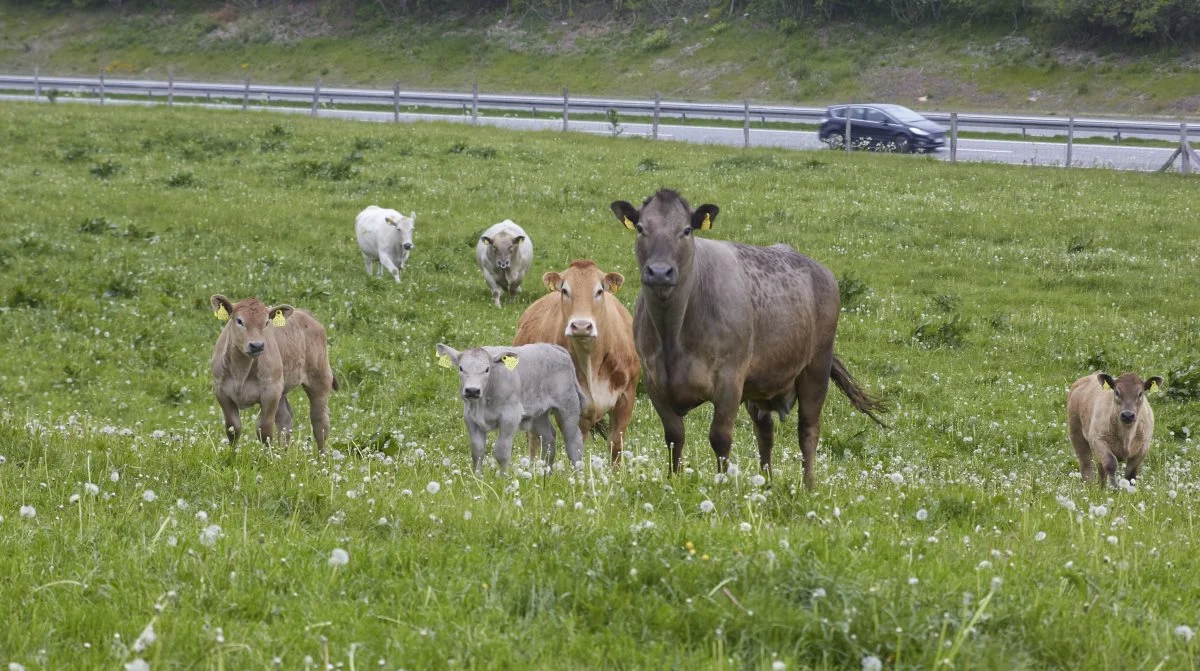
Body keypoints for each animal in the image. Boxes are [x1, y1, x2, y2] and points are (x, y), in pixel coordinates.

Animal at [210, 296, 338, 453]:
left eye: (266, 323)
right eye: (239, 321)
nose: (257, 345)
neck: (241, 372)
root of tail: (307, 315)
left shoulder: (270, 392)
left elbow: (264, 430)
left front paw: (267, 457)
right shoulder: (221, 391)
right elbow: (233, 429)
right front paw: (231, 455)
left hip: (319, 379)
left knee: (319, 422)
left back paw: (321, 457)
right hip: (282, 389)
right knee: (285, 420)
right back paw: (283, 454)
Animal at [436, 343, 585, 475]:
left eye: (487, 369)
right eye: (461, 368)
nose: (472, 390)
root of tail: (554, 347)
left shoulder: (510, 416)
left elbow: (501, 450)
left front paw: (503, 479)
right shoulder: (470, 418)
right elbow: (477, 450)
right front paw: (478, 479)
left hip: (568, 405)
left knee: (573, 440)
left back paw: (579, 478)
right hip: (538, 415)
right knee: (549, 439)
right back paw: (546, 474)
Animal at [518, 260, 648, 465]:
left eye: (599, 291)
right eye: (565, 290)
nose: (580, 326)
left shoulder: (626, 397)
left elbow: (615, 444)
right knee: (534, 438)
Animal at [614, 187, 888, 487]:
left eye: (686, 230)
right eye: (641, 228)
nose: (660, 272)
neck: (672, 334)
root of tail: (820, 270)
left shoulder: (729, 380)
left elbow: (720, 438)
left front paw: (722, 484)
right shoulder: (655, 383)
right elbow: (675, 436)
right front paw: (674, 481)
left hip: (816, 366)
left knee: (808, 430)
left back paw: (808, 486)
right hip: (760, 383)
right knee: (765, 431)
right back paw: (766, 482)